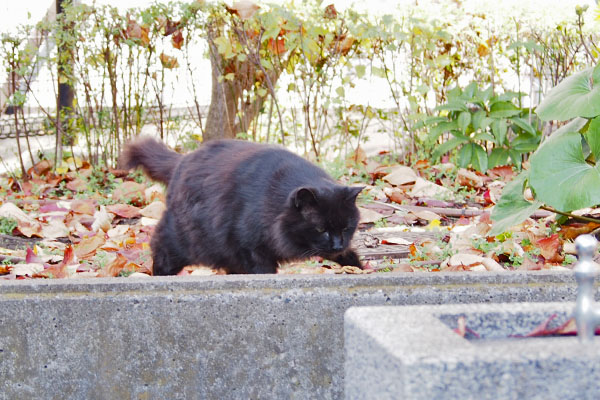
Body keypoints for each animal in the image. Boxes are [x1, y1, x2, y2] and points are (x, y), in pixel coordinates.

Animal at [122, 138, 364, 276]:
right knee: (160, 246)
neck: (272, 203)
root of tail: (184, 160)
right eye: (321, 229)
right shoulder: (252, 248)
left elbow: (349, 256)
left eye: (346, 228)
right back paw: (160, 274)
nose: (337, 244)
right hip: (185, 240)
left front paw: (359, 267)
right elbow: (263, 271)